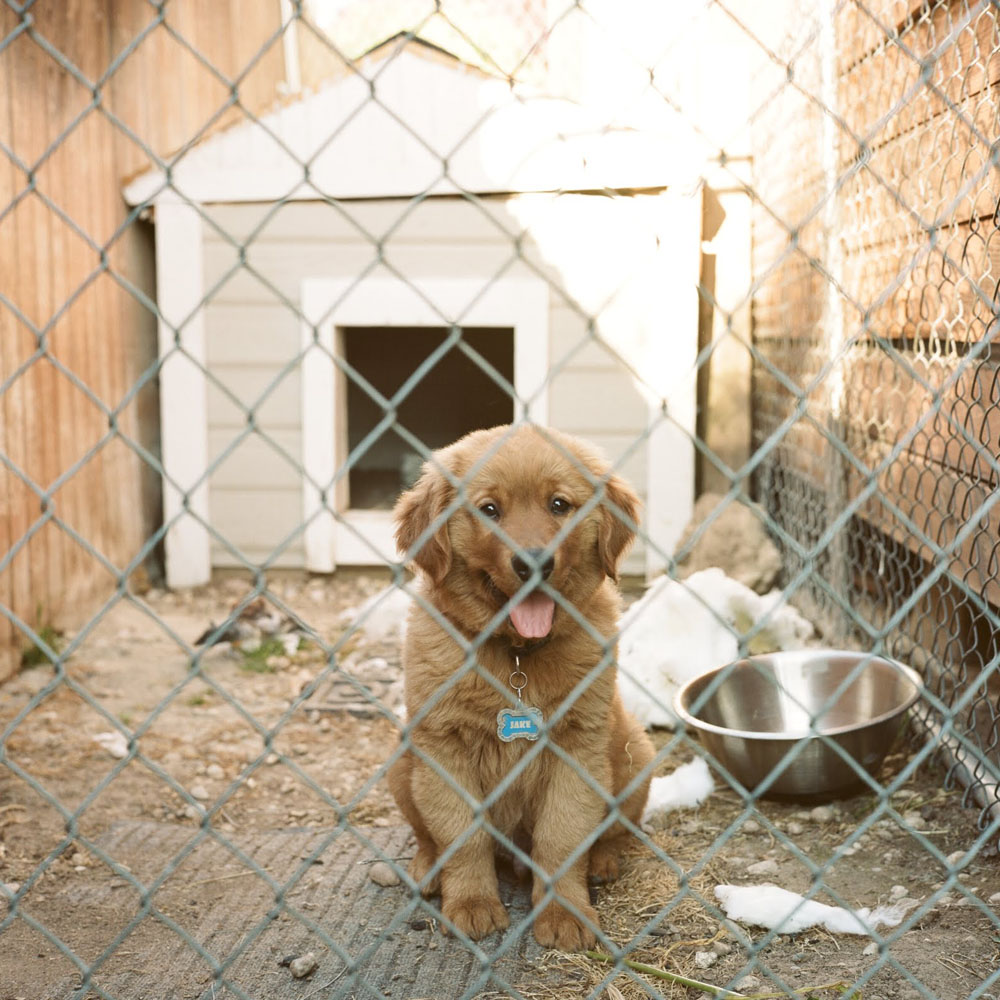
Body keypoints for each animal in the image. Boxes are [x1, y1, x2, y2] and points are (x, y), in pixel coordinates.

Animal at [384, 424, 656, 952]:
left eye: (559, 504)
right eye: (490, 509)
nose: (535, 564)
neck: (516, 655)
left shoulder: (577, 746)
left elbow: (562, 837)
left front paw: (565, 912)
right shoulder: (443, 749)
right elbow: (462, 836)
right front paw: (471, 905)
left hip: (635, 751)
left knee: (616, 830)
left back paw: (603, 862)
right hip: (402, 757)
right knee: (428, 836)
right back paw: (428, 869)